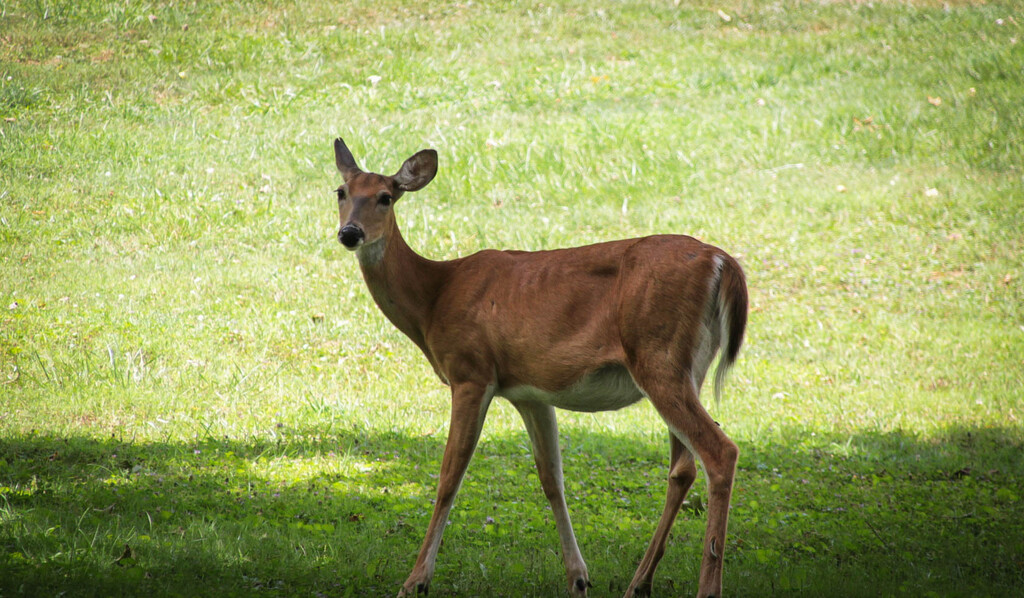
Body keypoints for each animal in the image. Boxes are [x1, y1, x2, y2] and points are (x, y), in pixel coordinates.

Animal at [331, 138, 749, 598]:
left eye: (385, 197)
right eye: (341, 192)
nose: (350, 233)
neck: (434, 298)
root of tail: (721, 261)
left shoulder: (471, 371)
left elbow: (449, 476)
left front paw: (415, 580)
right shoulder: (531, 392)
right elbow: (551, 478)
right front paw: (578, 577)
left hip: (659, 359)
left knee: (720, 451)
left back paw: (706, 586)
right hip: (686, 368)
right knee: (683, 466)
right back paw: (638, 583)